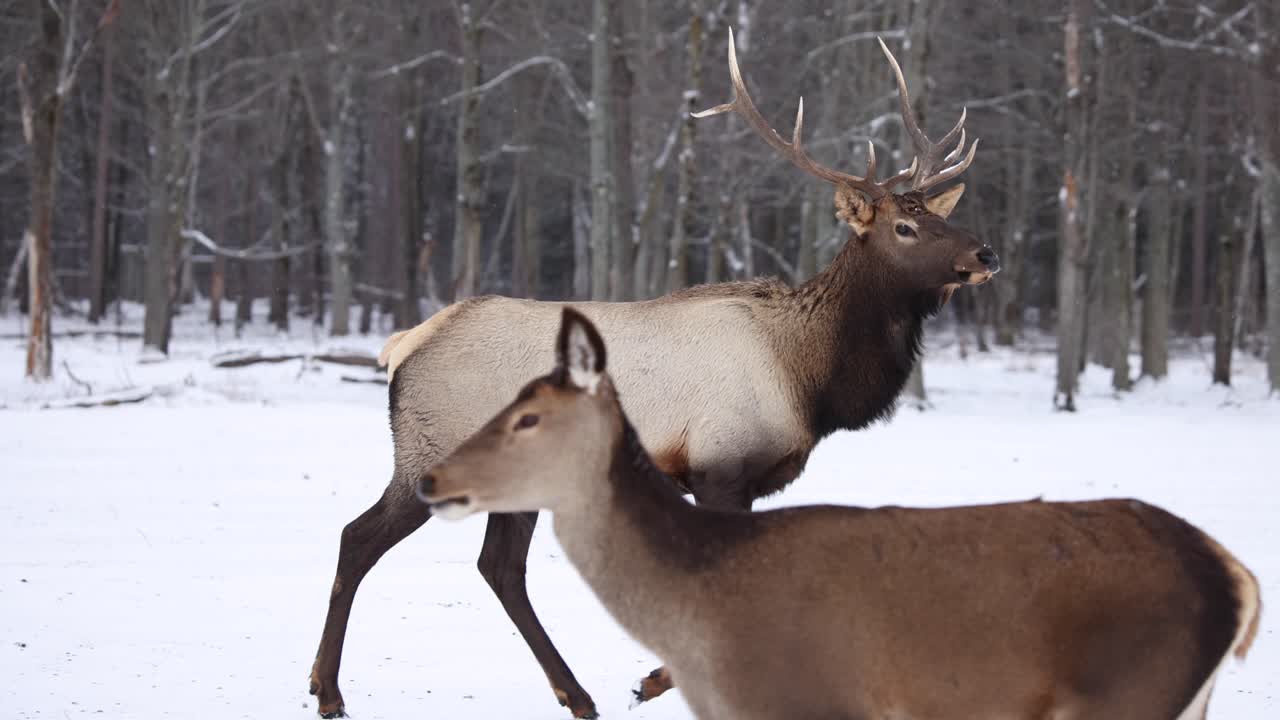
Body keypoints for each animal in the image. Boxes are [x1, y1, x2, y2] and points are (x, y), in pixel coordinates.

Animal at [309, 31, 1000, 719]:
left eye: (937, 215)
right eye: (904, 227)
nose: (985, 253)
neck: (809, 381)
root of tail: (405, 345)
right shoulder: (720, 468)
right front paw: (658, 679)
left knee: (498, 566)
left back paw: (575, 694)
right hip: (430, 452)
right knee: (359, 537)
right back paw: (328, 690)